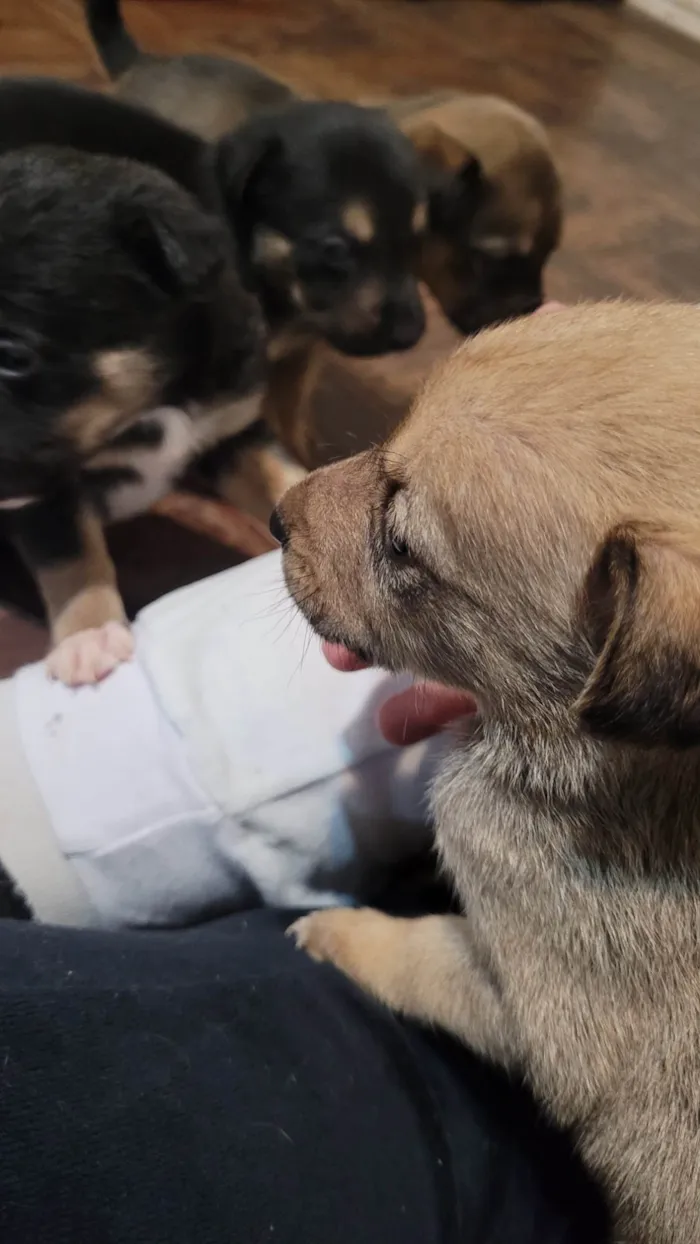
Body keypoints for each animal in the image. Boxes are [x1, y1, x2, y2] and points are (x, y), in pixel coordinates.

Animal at [0, 148, 266, 691]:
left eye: (12, 354)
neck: (152, 401)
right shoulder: (49, 494)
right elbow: (73, 559)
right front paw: (88, 637)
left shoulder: (236, 428)